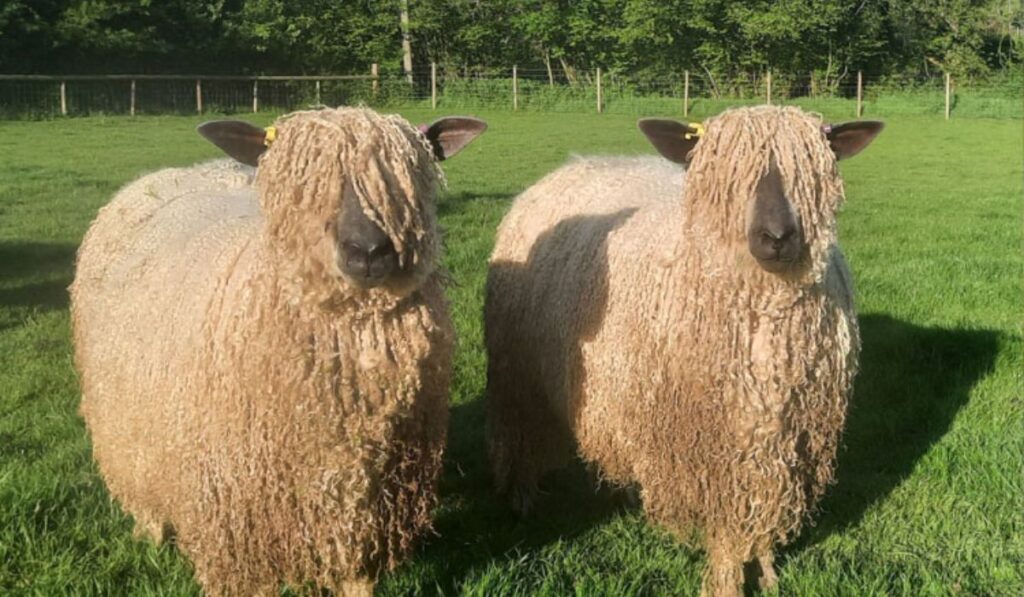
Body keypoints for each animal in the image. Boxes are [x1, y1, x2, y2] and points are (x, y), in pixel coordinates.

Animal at [70, 106, 486, 596]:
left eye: (409, 175)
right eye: (304, 183)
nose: (368, 251)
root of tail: (169, 174)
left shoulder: (369, 500)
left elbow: (357, 572)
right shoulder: (236, 511)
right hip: (127, 424)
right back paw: (150, 530)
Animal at [484, 106, 882, 595]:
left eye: (812, 171)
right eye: (724, 174)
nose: (777, 236)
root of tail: (571, 166)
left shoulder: (783, 443)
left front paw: (767, 571)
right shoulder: (711, 448)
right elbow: (727, 531)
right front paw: (728, 581)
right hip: (516, 365)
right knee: (518, 431)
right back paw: (521, 500)